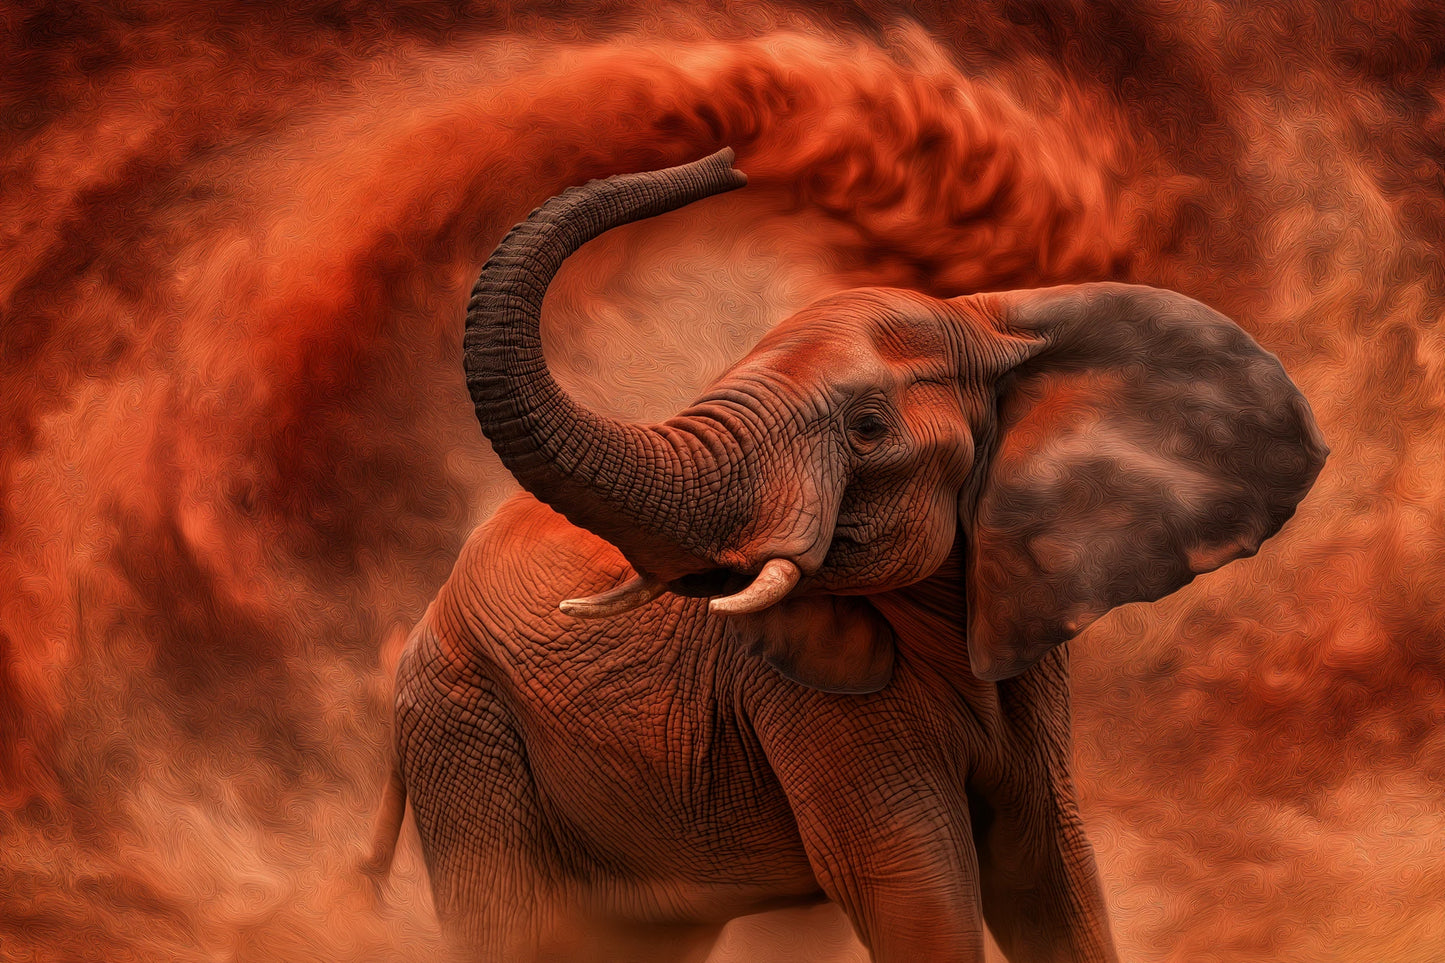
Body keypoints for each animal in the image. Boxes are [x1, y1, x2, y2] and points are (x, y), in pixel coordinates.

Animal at [364, 148, 1327, 963]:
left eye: (865, 428)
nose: (731, 156)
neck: (985, 316)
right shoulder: (800, 696)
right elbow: (917, 889)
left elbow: (1047, 874)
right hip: (461, 724)